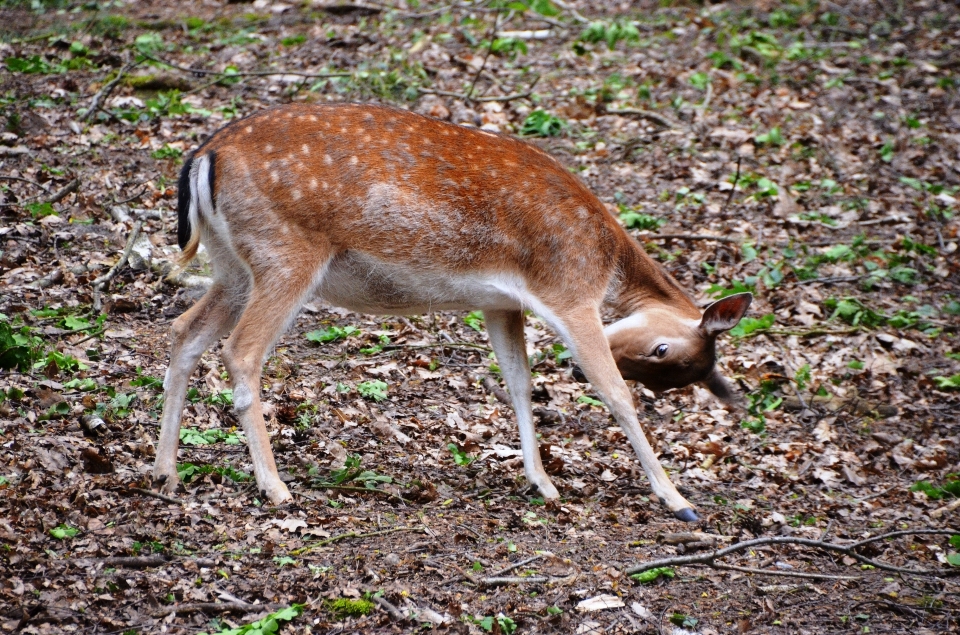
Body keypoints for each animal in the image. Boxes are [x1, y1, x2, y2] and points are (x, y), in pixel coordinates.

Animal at [152, 103, 752, 520]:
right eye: (662, 348)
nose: (573, 371)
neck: (607, 257)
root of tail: (203, 157)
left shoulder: (501, 303)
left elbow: (518, 383)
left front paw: (542, 483)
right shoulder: (570, 291)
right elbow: (616, 395)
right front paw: (677, 499)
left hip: (232, 263)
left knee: (184, 330)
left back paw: (164, 473)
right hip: (285, 254)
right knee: (240, 351)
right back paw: (274, 488)